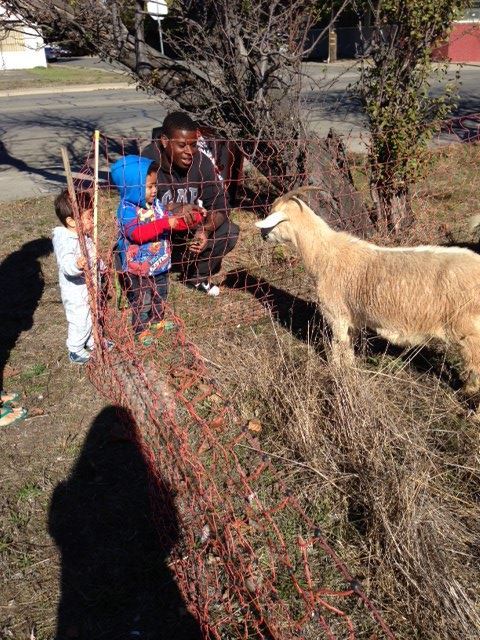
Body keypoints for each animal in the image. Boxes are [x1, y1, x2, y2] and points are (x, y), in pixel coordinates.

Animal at [256, 191, 480, 396]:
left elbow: (337, 346)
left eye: (273, 217)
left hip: (468, 329)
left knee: (474, 365)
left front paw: (337, 373)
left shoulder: (337, 315)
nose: (263, 236)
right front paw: (350, 370)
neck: (325, 254)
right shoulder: (352, 319)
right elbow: (348, 348)